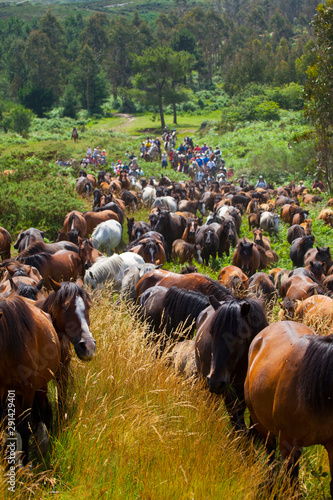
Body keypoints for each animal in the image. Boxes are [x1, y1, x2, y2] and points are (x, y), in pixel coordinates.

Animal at [0, 294, 60, 462]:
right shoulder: (5, 390)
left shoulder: (28, 389)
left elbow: (24, 427)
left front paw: (25, 463)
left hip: (41, 386)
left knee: (41, 411)